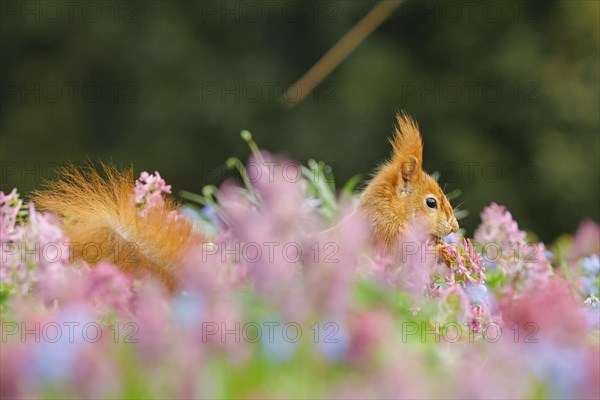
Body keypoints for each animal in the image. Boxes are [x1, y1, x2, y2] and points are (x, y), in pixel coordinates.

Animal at [31, 112, 454, 288]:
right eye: (431, 203)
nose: (454, 225)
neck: (390, 212)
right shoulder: (383, 236)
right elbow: (402, 251)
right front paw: (442, 250)